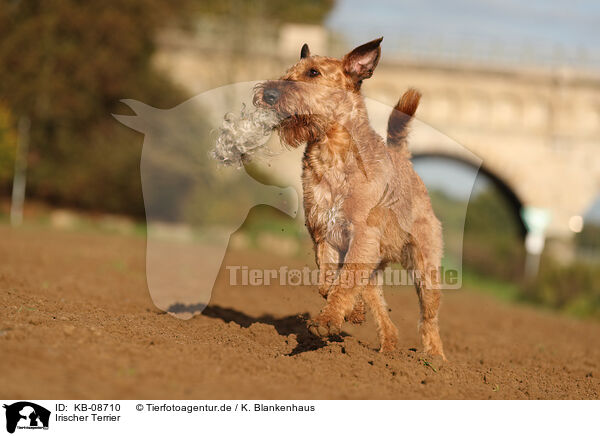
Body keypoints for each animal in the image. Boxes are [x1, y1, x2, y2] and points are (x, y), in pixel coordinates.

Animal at [253, 37, 446, 358]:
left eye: (313, 72)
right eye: (289, 70)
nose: (267, 93)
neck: (332, 151)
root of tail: (403, 158)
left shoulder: (361, 235)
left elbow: (343, 284)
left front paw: (326, 322)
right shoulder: (324, 235)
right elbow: (330, 282)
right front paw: (346, 313)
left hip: (424, 265)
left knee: (429, 317)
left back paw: (435, 359)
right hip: (377, 264)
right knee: (382, 312)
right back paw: (386, 349)